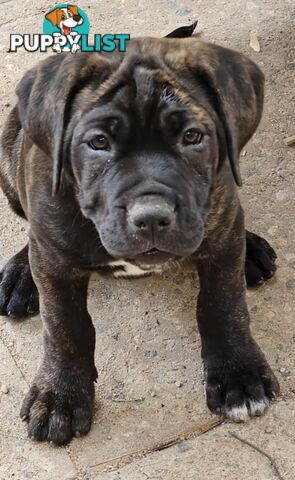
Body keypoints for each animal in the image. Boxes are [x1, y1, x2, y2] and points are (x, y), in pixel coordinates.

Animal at [0, 35, 280, 444]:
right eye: (98, 142)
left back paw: (252, 249)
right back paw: (21, 275)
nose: (150, 217)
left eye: (192, 137)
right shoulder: (54, 264)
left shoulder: (220, 239)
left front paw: (238, 375)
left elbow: (224, 303)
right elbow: (64, 326)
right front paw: (59, 397)